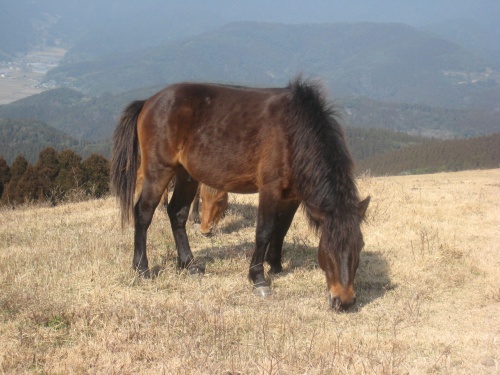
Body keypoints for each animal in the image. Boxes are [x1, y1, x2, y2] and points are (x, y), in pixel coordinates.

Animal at [114, 75, 372, 312]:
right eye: (327, 247)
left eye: (359, 245)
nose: (344, 301)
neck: (293, 131)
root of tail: (148, 102)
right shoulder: (270, 189)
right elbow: (264, 231)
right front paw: (258, 278)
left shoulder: (292, 196)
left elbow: (282, 229)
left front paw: (275, 265)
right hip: (159, 170)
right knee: (143, 213)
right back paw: (142, 268)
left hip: (186, 174)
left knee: (177, 213)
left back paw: (189, 264)